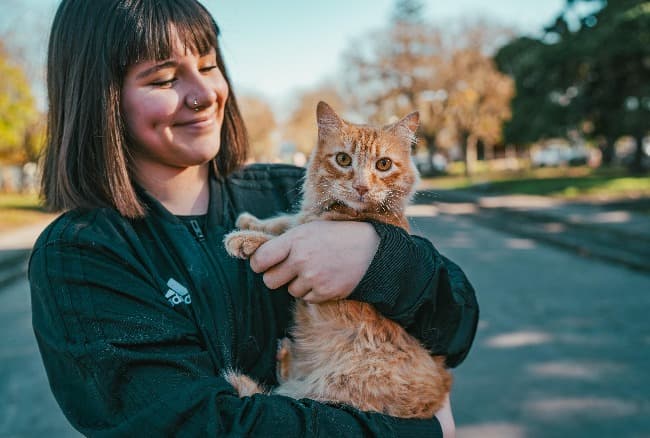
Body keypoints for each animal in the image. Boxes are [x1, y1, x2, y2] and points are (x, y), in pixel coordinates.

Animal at [223, 102, 450, 418]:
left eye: (383, 165)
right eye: (343, 159)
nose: (361, 187)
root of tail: (436, 394)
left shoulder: (310, 233)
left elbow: (284, 237)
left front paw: (243, 238)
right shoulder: (305, 218)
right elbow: (286, 221)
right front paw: (251, 221)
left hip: (330, 387)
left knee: (288, 395)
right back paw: (284, 353)